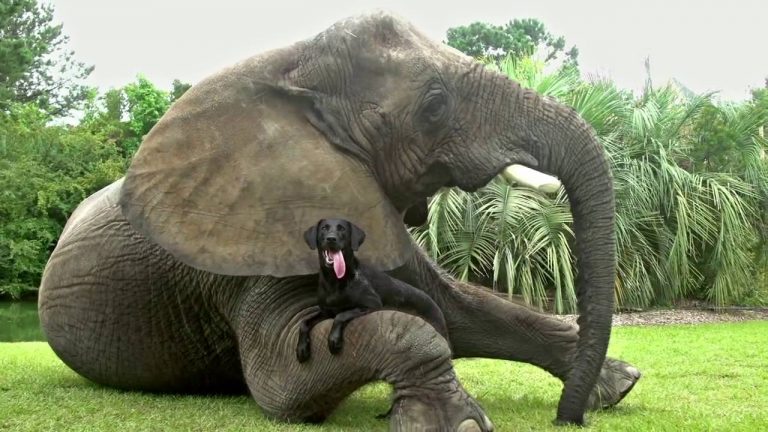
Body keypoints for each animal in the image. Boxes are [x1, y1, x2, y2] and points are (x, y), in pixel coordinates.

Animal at [296, 218, 449, 363]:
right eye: (324, 228)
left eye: (342, 229)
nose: (331, 238)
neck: (335, 281)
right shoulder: (325, 312)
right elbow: (304, 322)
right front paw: (301, 349)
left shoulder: (371, 304)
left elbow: (341, 315)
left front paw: (334, 340)